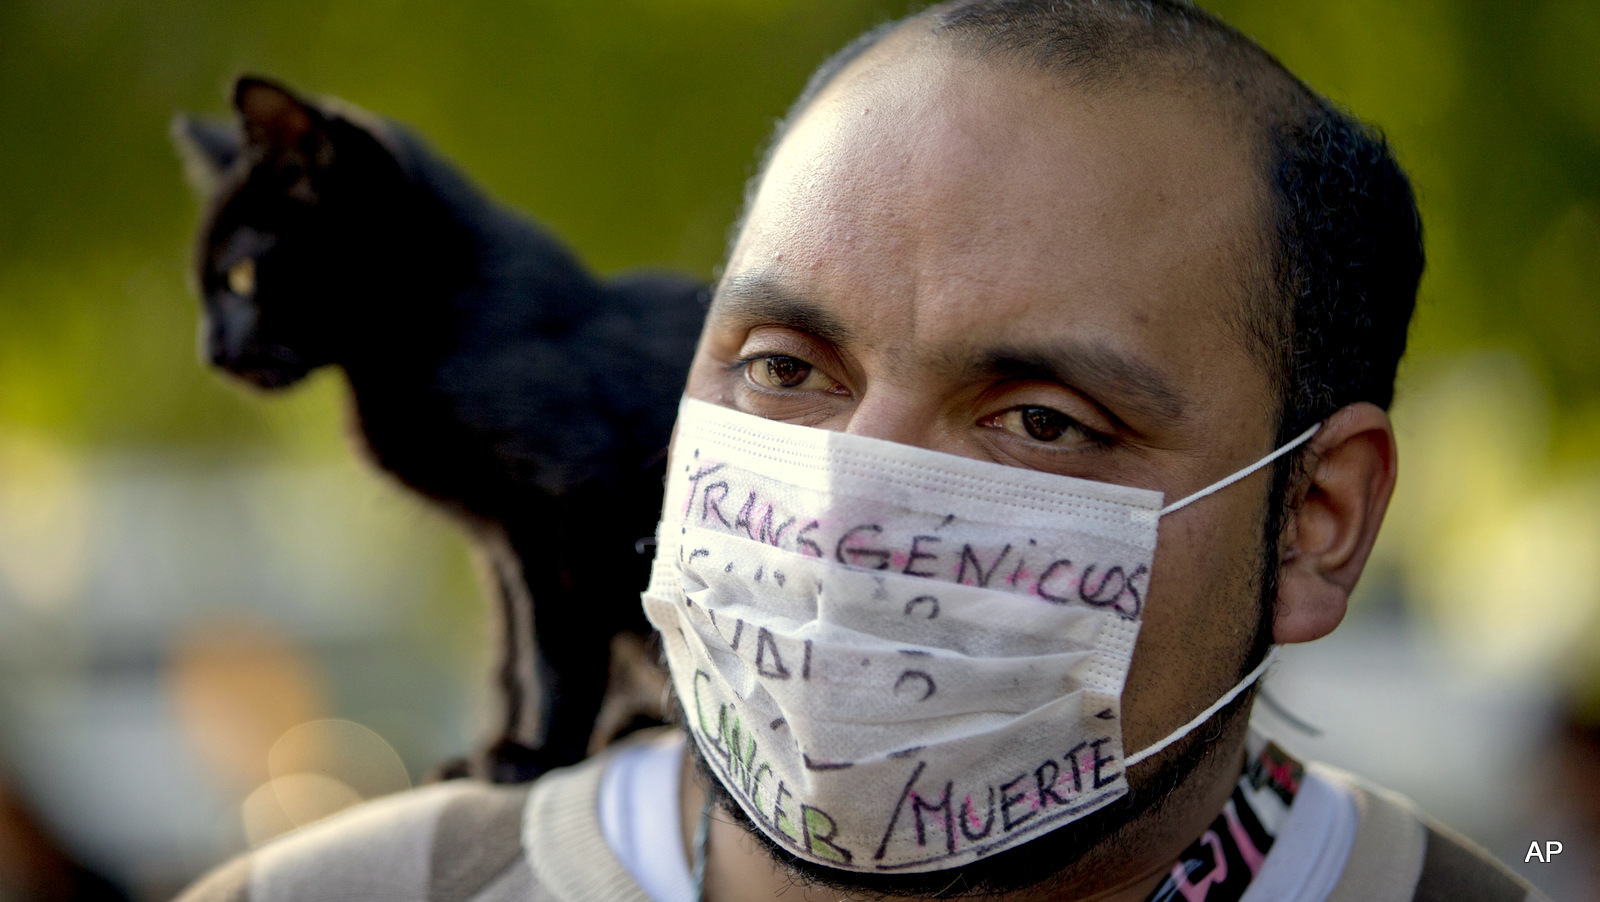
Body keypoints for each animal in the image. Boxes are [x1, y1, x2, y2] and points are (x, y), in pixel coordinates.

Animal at [168, 77, 707, 783]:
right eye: (205, 285)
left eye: (239, 277)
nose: (209, 352)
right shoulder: (498, 544)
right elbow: (508, 655)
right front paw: (485, 752)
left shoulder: (568, 506)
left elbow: (554, 645)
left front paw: (537, 754)